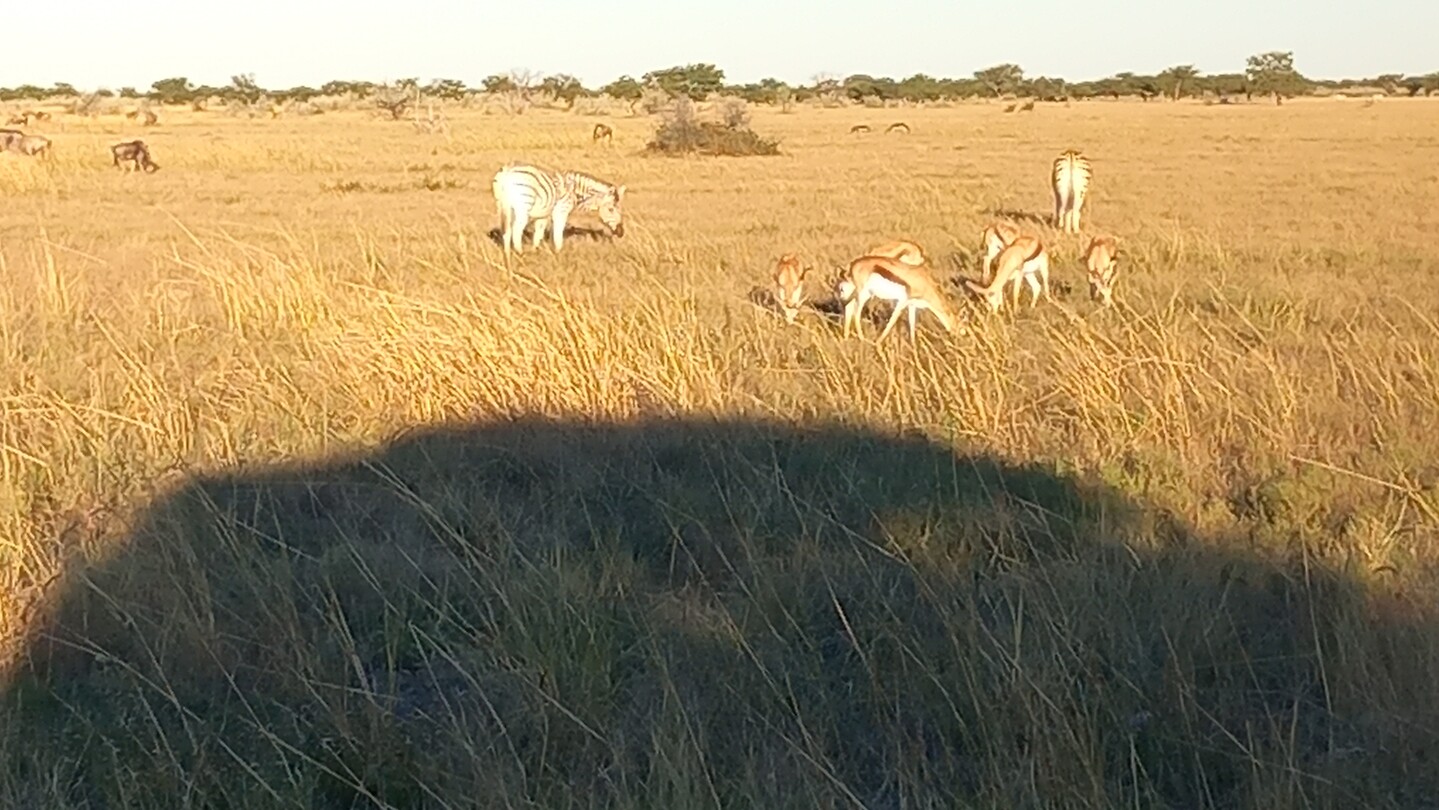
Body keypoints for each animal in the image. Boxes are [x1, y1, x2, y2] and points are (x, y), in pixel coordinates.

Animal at [491, 164, 626, 256]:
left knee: (506, 232)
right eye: (611, 209)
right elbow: (558, 233)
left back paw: (508, 255)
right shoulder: (561, 211)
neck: (574, 191)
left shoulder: (543, 215)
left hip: (503, 207)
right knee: (516, 230)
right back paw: (520, 253)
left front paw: (536, 252)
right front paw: (558, 253)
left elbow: (538, 235)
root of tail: (506, 174)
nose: (621, 233)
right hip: (523, 208)